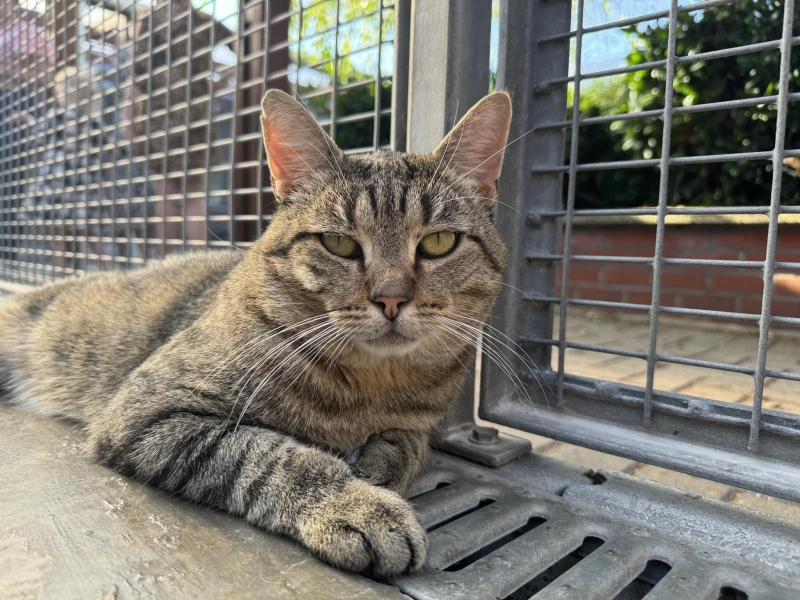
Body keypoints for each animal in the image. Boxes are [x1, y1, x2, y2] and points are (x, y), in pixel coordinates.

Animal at [0, 89, 512, 577]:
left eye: (439, 242)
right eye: (339, 243)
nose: (391, 299)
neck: (372, 385)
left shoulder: (418, 423)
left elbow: (410, 443)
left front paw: (382, 461)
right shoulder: (149, 409)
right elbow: (271, 454)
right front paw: (355, 504)